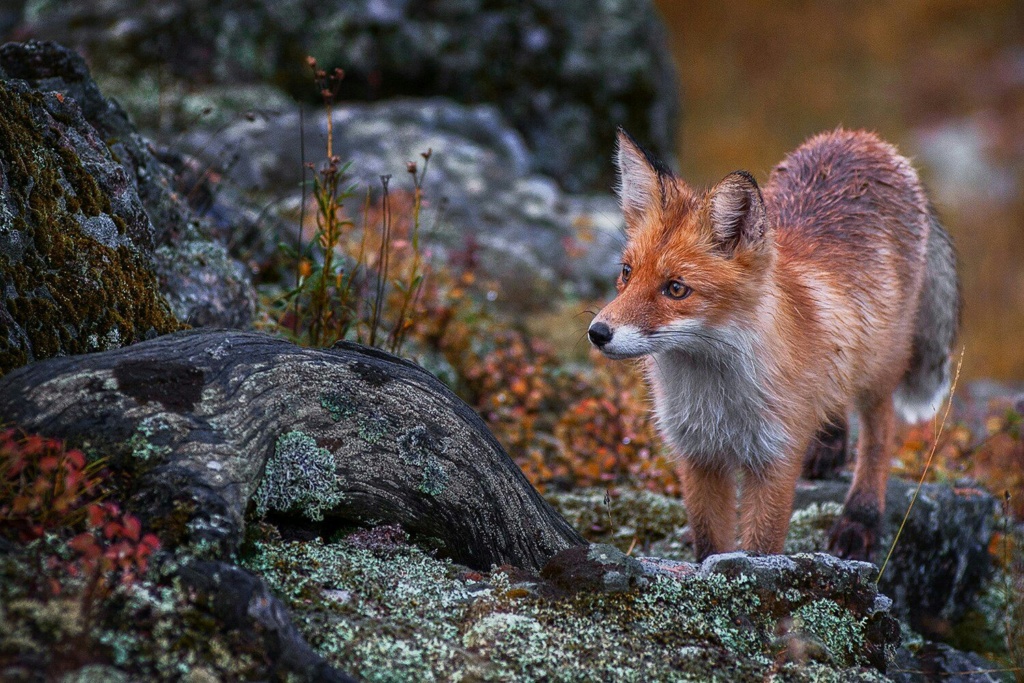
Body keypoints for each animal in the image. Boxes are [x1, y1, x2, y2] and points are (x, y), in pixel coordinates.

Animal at [593, 127, 958, 561]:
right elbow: (709, 543)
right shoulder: (697, 455)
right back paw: (829, 444)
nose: (598, 332)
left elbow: (761, 547)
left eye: (676, 289)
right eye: (626, 273)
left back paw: (862, 514)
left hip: (882, 363)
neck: (718, 402)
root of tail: (859, 137)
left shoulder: (774, 458)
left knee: (879, 433)